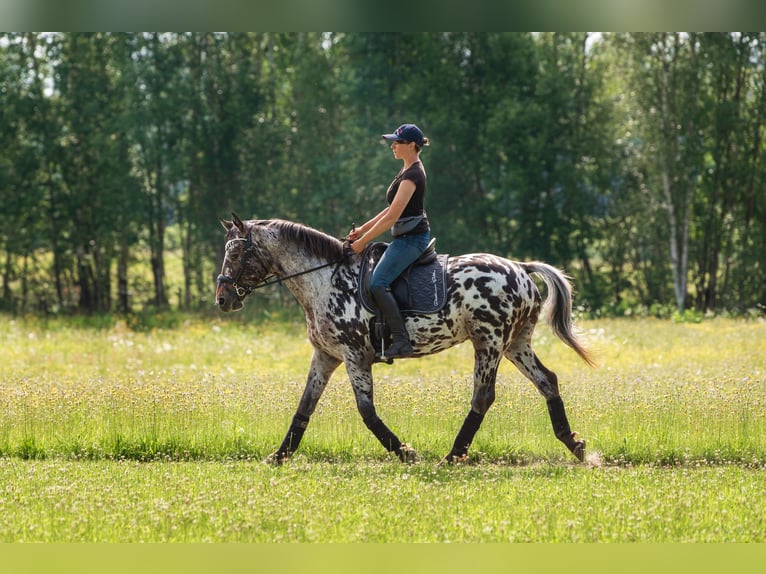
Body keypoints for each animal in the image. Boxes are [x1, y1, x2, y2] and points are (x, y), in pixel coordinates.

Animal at [218, 214, 600, 466]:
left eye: (235, 254)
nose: (223, 299)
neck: (325, 280)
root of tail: (520, 268)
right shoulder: (326, 356)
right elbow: (304, 408)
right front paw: (279, 456)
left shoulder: (355, 356)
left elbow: (367, 412)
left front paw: (405, 452)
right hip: (515, 344)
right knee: (547, 382)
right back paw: (576, 445)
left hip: (488, 342)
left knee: (483, 396)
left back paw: (453, 455)